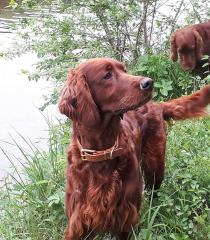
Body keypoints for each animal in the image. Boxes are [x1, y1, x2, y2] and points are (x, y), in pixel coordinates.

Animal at [57, 57, 210, 239]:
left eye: (124, 70)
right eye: (107, 75)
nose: (149, 82)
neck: (102, 153)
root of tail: (156, 104)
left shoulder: (125, 217)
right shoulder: (78, 221)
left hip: (154, 164)